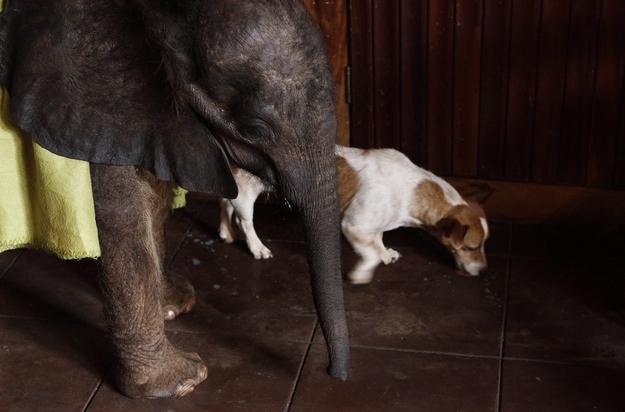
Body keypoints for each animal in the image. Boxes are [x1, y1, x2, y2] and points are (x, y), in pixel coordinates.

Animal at [219, 145, 492, 284]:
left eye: (483, 245)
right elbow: (370, 254)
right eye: (470, 248)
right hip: (247, 197)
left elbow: (378, 242)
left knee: (224, 203)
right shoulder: (353, 226)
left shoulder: (376, 225)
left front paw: (385, 253)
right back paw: (257, 247)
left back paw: (225, 232)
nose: (484, 272)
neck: (412, 188)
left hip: (236, 191)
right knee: (246, 222)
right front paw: (361, 273)